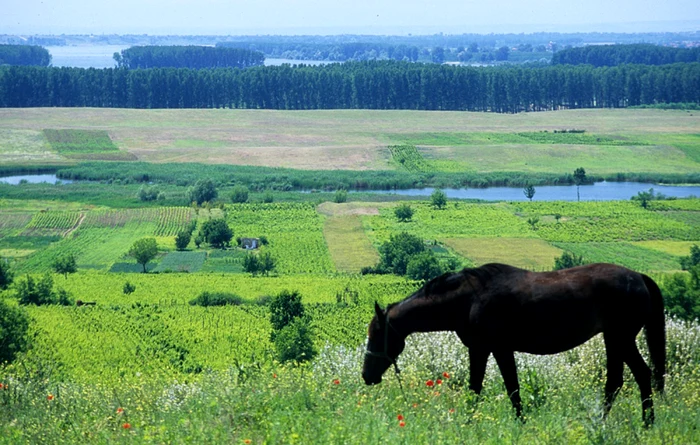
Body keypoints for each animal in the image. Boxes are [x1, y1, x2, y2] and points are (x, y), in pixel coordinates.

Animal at [364, 262, 664, 424]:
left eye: (376, 334)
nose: (366, 375)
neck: (468, 299)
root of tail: (639, 277)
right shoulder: (485, 349)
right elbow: (488, 388)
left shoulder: (495, 348)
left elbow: (505, 389)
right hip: (615, 340)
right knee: (620, 381)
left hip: (620, 338)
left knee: (637, 376)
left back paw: (643, 423)